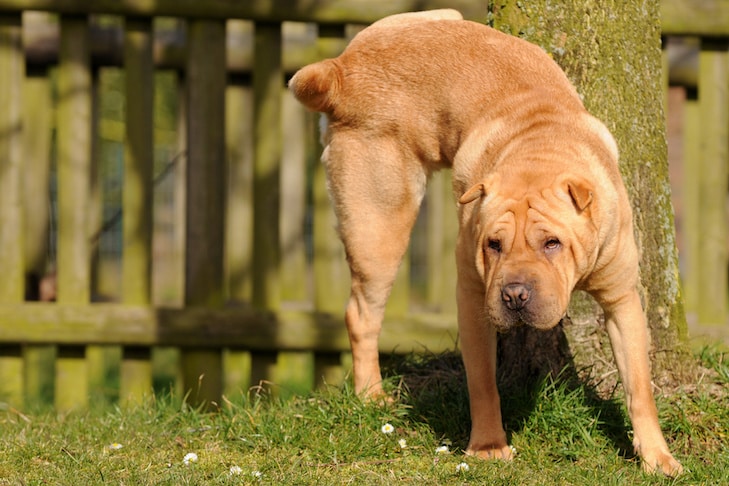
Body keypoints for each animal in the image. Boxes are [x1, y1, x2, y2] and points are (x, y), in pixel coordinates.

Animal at [288, 9, 684, 476]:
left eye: (552, 243)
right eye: (493, 245)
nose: (514, 294)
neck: (539, 147)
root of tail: (342, 68)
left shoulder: (622, 298)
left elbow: (639, 386)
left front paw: (657, 456)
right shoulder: (473, 295)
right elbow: (482, 381)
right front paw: (489, 447)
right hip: (380, 225)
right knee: (362, 313)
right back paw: (372, 396)